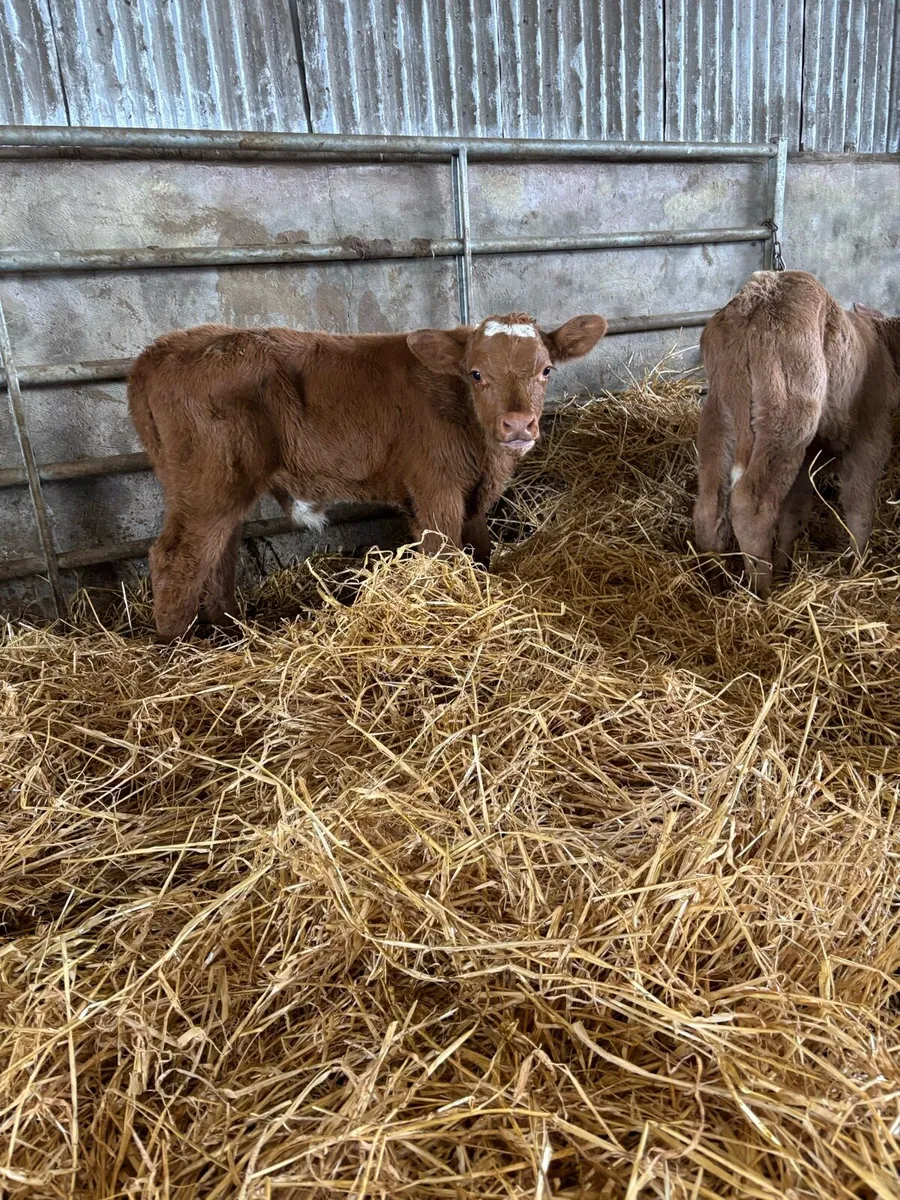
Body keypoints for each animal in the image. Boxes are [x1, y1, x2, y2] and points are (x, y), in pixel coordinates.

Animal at [128, 311, 608, 640]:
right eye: (476, 374)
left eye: (546, 370)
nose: (518, 425)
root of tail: (158, 351)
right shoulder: (436, 488)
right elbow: (443, 553)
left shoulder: (471, 496)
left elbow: (481, 553)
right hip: (207, 484)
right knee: (178, 558)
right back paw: (177, 652)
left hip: (222, 487)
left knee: (219, 553)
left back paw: (230, 630)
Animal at [693, 271, 900, 598]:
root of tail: (752, 308)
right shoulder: (871, 435)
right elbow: (860, 506)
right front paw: (857, 566)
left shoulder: (809, 456)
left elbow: (795, 511)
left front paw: (785, 566)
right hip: (785, 416)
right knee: (751, 505)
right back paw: (761, 591)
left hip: (719, 413)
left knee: (710, 502)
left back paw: (713, 579)